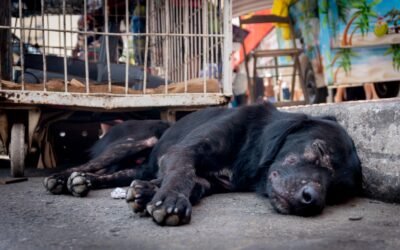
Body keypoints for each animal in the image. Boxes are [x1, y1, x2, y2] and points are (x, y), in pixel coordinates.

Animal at [44, 102, 362, 226]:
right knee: (93, 164)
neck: (252, 145)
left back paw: (85, 182)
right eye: (319, 150)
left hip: (137, 165)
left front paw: (146, 193)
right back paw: (62, 179)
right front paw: (170, 201)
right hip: (138, 140)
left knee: (117, 175)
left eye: (335, 191)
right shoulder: (184, 151)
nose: (312, 200)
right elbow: (182, 175)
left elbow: (192, 183)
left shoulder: (211, 182)